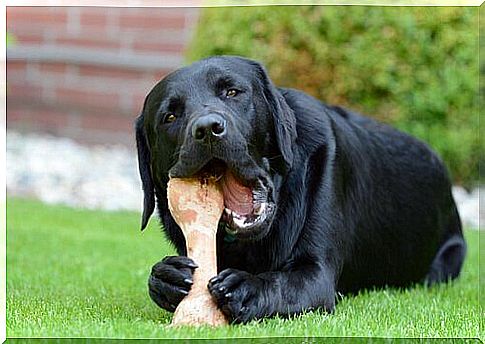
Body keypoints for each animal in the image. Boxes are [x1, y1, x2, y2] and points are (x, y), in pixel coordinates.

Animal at [135, 55, 466, 324]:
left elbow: (279, 282)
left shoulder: (316, 275)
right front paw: (167, 276)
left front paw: (246, 286)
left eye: (232, 92)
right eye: (170, 116)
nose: (206, 129)